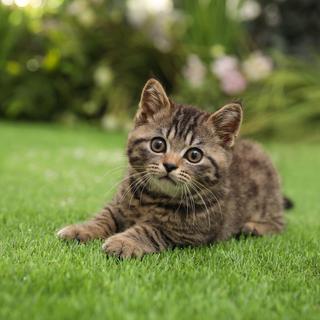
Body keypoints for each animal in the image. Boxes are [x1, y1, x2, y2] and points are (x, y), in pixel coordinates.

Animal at [57, 79, 288, 258]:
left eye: (194, 155)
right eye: (158, 144)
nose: (169, 165)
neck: (153, 198)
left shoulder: (186, 232)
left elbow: (149, 230)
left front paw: (122, 242)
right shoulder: (118, 204)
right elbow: (104, 217)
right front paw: (80, 229)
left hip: (268, 200)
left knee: (280, 223)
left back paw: (255, 227)